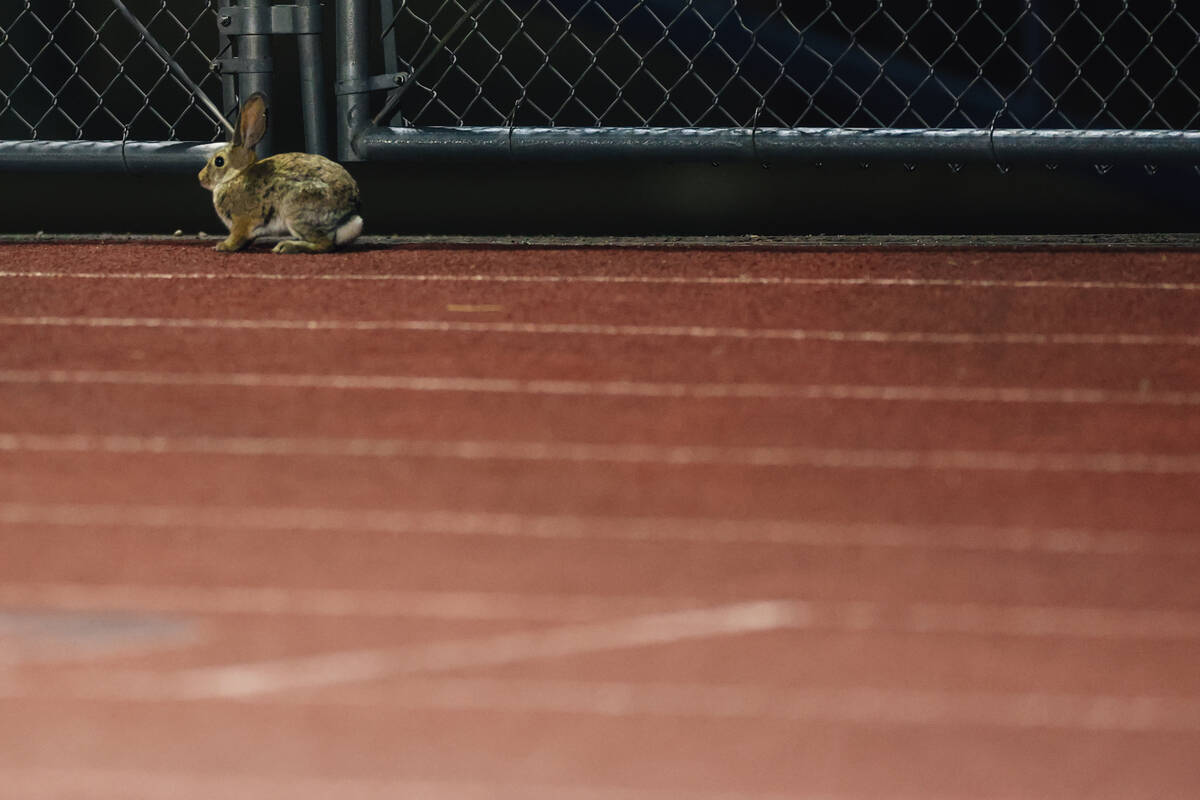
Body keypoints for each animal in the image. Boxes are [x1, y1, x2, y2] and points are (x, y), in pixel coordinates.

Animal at [198, 92, 363, 254]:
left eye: (219, 161)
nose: (200, 178)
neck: (236, 176)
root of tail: (351, 213)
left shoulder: (242, 220)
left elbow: (237, 237)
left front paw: (222, 246)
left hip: (296, 212)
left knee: (325, 244)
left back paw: (286, 247)